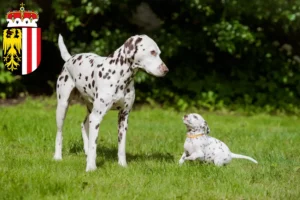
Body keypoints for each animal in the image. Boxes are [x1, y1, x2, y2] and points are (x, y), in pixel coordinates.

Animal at [54, 33, 169, 171]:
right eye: (152, 52)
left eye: (159, 53)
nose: (166, 70)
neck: (119, 75)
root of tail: (69, 58)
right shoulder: (97, 117)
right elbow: (94, 145)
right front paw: (91, 167)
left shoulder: (123, 117)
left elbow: (121, 146)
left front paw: (122, 165)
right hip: (63, 107)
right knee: (59, 134)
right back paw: (57, 156)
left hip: (90, 109)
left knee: (84, 125)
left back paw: (85, 151)